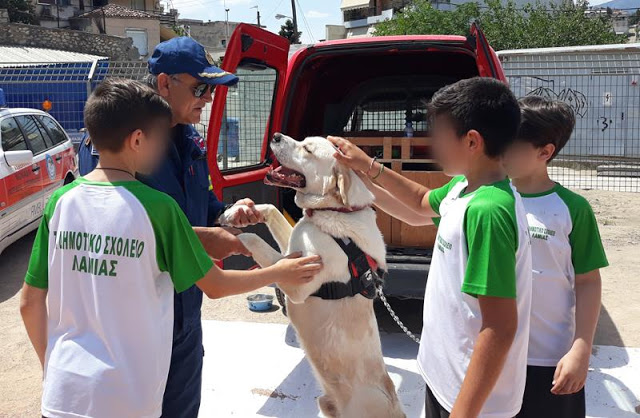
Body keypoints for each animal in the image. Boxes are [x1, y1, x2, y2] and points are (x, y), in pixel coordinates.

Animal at [222, 134, 404, 418]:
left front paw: (225, 236)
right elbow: (272, 208)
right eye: (302, 140)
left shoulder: (296, 281)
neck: (337, 213)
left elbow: (250, 239)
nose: (276, 136)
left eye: (307, 149)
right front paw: (236, 212)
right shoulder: (293, 245)